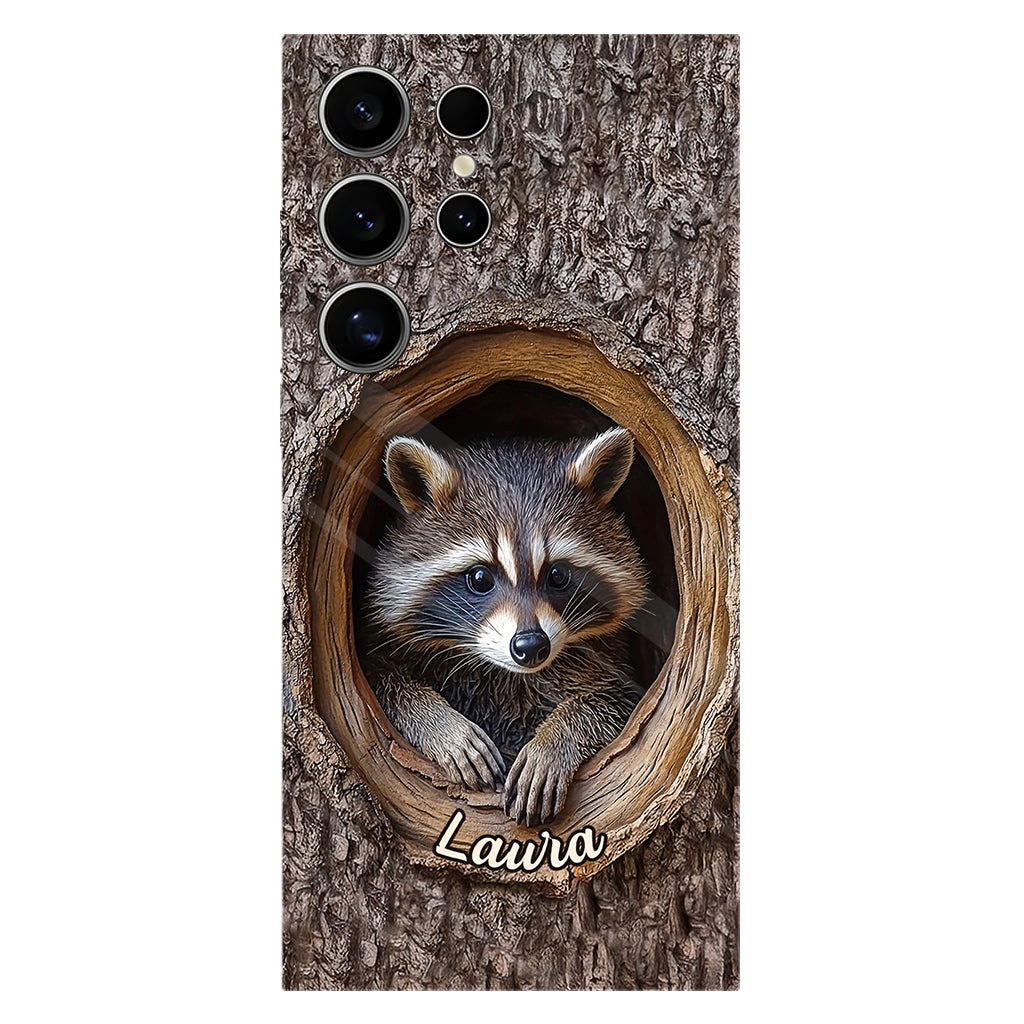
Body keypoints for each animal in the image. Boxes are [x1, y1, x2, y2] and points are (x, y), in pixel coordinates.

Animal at [364, 426, 648, 827]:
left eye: (557, 575)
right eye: (480, 577)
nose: (530, 646)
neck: (506, 673)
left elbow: (613, 701)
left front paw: (554, 740)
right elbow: (384, 680)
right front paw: (441, 724)